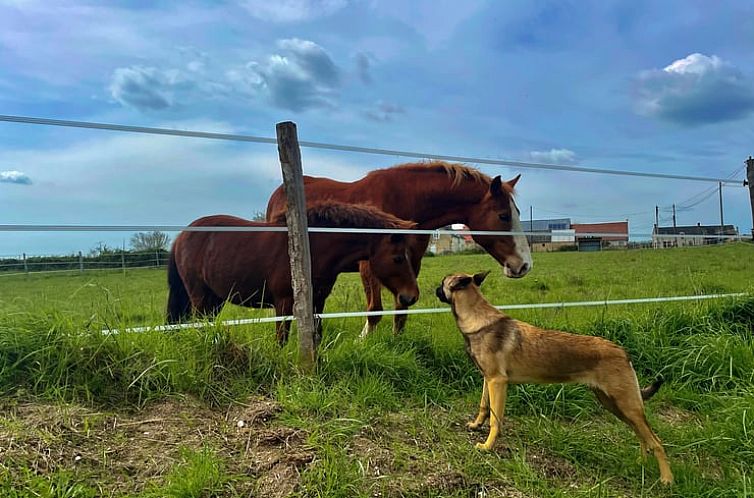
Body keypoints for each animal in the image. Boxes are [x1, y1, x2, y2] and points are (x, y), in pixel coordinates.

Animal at [165, 200, 420, 344]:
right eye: (398, 258)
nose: (411, 296)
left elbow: (317, 336)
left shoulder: (317, 302)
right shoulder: (284, 302)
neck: (310, 246)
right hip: (200, 297)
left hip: (215, 299)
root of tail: (181, 237)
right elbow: (282, 339)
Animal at [268, 161, 532, 336]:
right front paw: (364, 341)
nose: (524, 265)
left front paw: (397, 342)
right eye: (503, 215)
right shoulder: (369, 265)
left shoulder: (410, 264)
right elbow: (375, 310)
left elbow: (402, 309)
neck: (404, 202)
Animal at [432, 270, 672, 484]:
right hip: (613, 404)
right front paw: (475, 425)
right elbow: (484, 407)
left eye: (443, 282)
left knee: (656, 441)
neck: (476, 317)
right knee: (641, 436)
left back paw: (666, 479)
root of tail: (622, 351)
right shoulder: (488, 380)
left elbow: (495, 420)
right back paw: (641, 463)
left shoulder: (497, 382)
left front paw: (487, 447)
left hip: (626, 405)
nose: (434, 288)